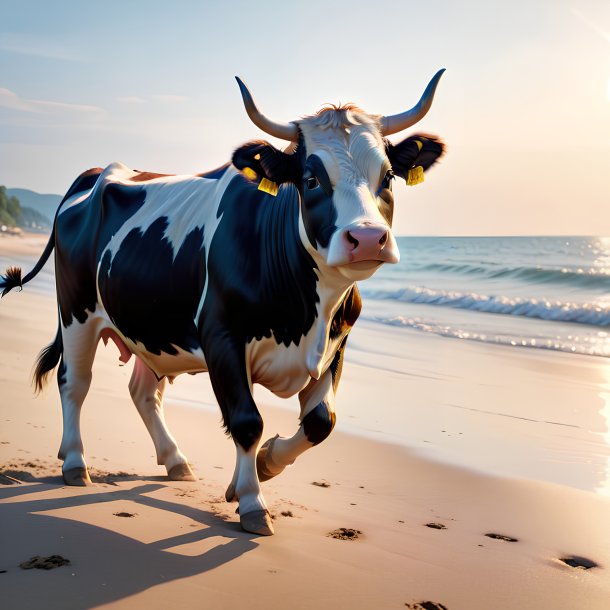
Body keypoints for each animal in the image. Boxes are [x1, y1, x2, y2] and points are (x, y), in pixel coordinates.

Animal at [2, 72, 444, 532]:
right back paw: (75, 463)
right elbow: (247, 420)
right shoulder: (221, 336)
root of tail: (97, 173)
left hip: (152, 327)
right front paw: (252, 501)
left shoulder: (336, 344)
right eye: (311, 180)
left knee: (143, 391)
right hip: (77, 311)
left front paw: (265, 465)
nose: (368, 238)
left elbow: (321, 421)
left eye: (388, 176)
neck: (307, 314)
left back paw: (176, 461)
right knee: (74, 381)